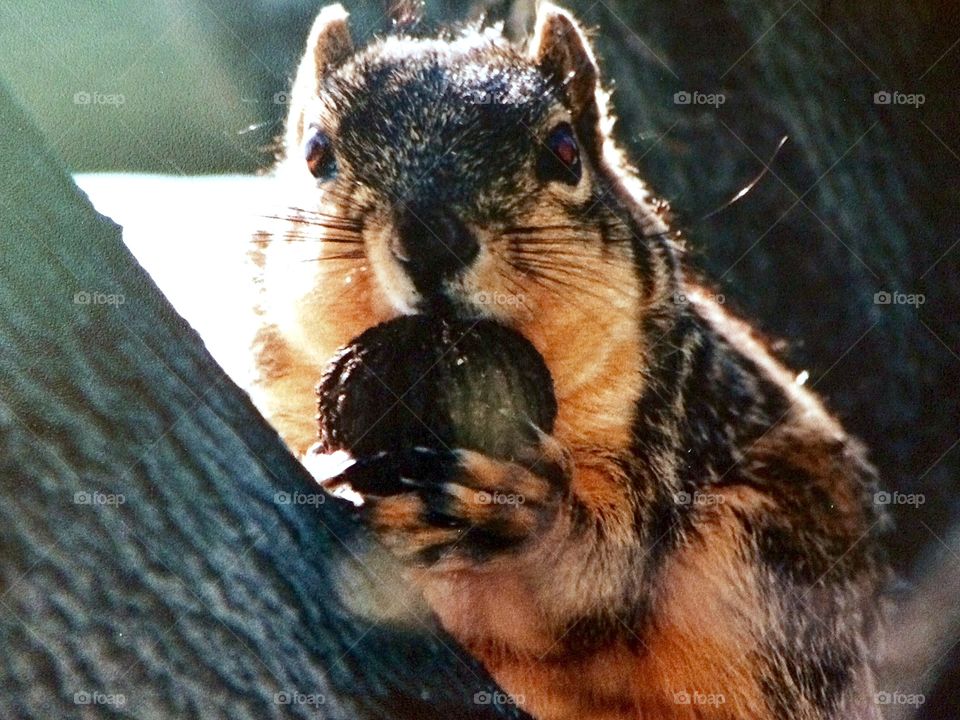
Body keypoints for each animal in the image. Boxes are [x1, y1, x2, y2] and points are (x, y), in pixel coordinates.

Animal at [249, 3, 886, 719]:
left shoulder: (654, 411)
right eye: (315, 154)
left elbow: (600, 580)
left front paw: (518, 509)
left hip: (768, 555)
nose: (431, 237)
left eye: (563, 150)